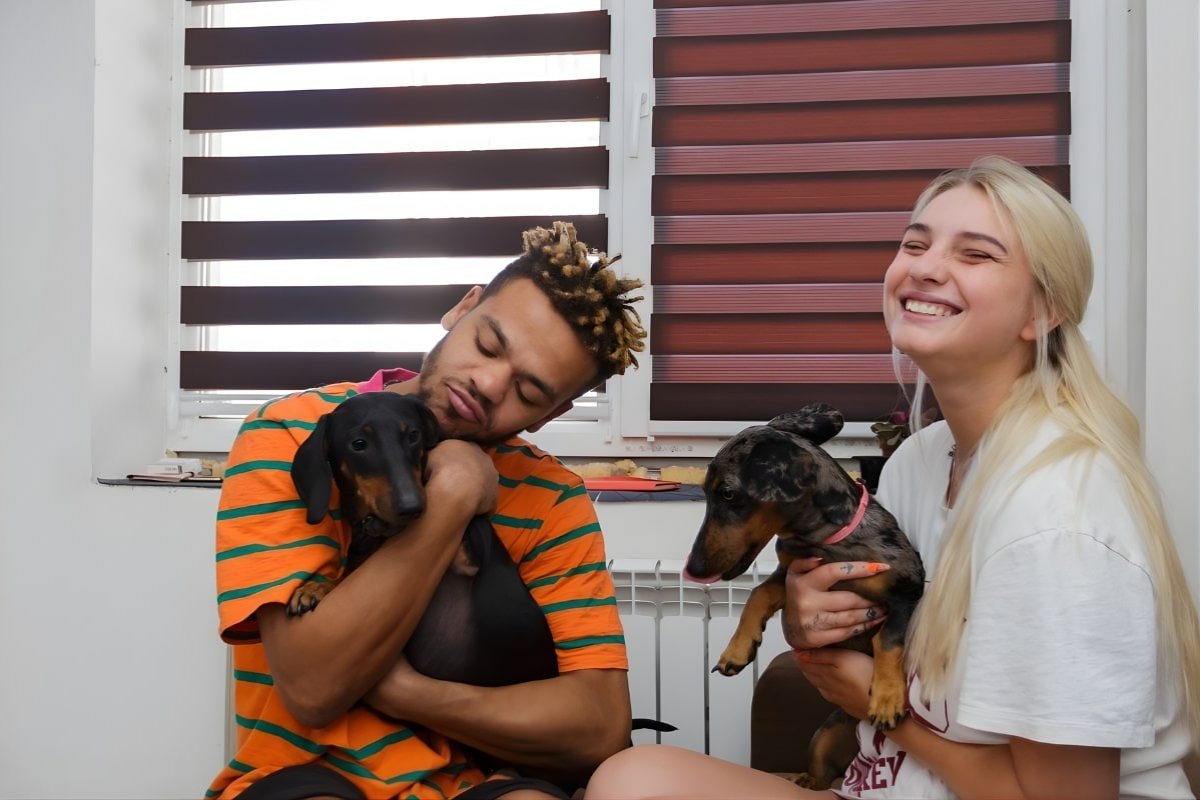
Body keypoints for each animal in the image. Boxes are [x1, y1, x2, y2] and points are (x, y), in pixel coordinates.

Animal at [683, 403, 924, 789]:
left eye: (729, 494)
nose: (694, 569)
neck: (826, 544)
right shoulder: (791, 576)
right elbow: (758, 594)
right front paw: (737, 650)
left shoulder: (908, 590)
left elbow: (888, 639)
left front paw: (887, 698)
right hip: (823, 738)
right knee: (821, 776)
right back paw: (804, 781)